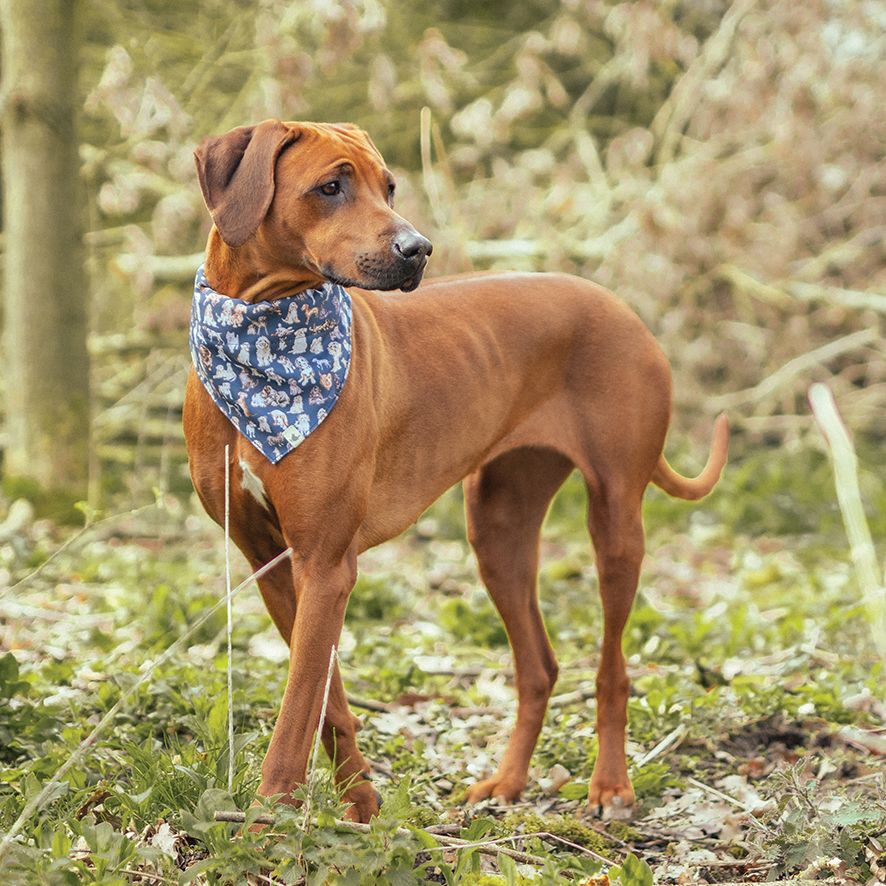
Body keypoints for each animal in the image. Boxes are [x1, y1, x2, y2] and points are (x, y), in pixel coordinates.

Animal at [182, 118, 728, 824]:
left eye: (389, 187)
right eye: (331, 187)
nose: (418, 249)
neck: (259, 333)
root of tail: (621, 307)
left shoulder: (326, 564)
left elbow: (299, 705)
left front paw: (269, 813)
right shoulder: (271, 561)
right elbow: (325, 699)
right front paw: (360, 806)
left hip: (615, 520)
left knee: (613, 668)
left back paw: (610, 786)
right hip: (498, 528)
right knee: (538, 666)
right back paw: (507, 782)